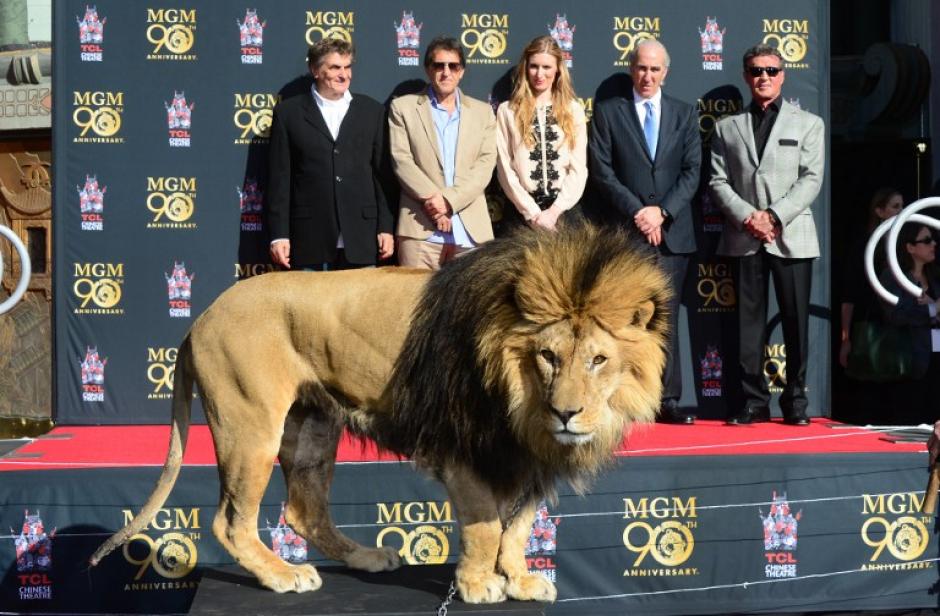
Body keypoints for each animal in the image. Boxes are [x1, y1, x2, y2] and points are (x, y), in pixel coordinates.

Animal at [88, 221, 668, 600]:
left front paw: (521, 577)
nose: (567, 414)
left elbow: (520, 523)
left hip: (312, 427)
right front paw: (479, 583)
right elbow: (484, 524)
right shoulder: (464, 446)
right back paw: (282, 576)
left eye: (598, 359)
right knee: (230, 522)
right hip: (249, 426)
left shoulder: (531, 454)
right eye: (549, 356)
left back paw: (365, 557)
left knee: (302, 510)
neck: (522, 397)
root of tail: (200, 318)